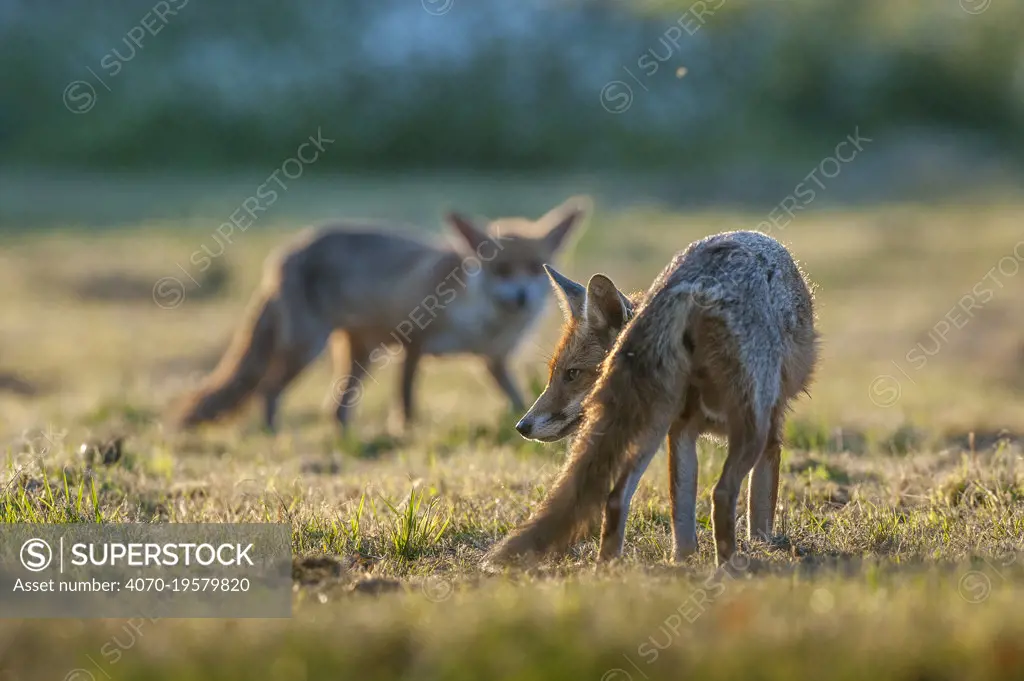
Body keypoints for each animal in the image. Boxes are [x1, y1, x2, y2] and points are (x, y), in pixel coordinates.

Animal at [168, 196, 593, 430]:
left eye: (534, 268)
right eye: (502, 270)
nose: (522, 298)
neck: (483, 319)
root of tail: (284, 255)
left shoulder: (495, 361)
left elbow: (519, 398)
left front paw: (531, 420)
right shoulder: (414, 342)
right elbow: (405, 400)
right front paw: (406, 432)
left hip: (360, 356)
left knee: (335, 408)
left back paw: (342, 433)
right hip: (307, 348)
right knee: (268, 390)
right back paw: (274, 432)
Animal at [491, 231, 819, 565]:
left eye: (571, 374)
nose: (521, 426)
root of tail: (691, 282)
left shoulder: (679, 430)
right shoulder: (771, 431)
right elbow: (760, 508)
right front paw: (766, 547)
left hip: (653, 427)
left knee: (617, 499)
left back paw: (621, 567)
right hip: (747, 427)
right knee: (721, 494)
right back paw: (729, 567)